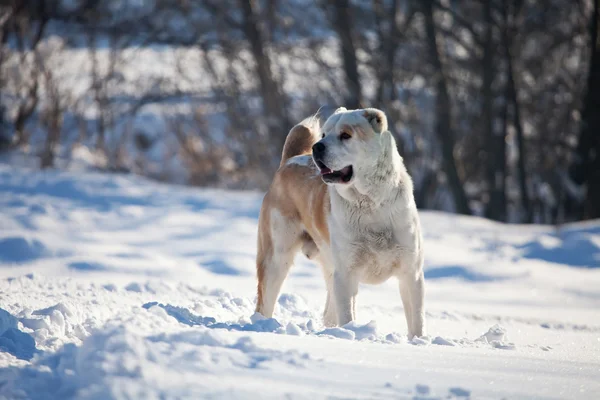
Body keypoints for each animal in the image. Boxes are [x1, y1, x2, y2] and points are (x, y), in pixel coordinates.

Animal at [255, 106, 424, 338]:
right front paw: (351, 335)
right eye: (324, 135)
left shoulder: (411, 273)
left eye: (345, 135)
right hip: (276, 257)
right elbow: (347, 315)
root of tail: (292, 159)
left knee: (328, 312)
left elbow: (416, 321)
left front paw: (417, 341)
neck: (371, 204)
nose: (317, 147)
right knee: (265, 302)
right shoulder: (346, 273)